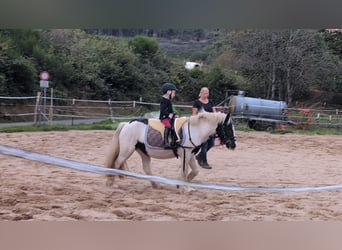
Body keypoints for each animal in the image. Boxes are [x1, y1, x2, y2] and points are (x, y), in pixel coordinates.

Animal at [104, 112, 236, 188]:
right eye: (228, 128)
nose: (233, 145)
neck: (195, 130)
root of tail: (127, 124)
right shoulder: (185, 154)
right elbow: (184, 171)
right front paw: (184, 188)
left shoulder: (190, 155)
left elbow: (195, 171)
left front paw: (181, 184)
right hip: (127, 150)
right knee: (116, 163)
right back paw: (110, 182)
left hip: (144, 152)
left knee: (146, 169)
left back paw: (156, 185)